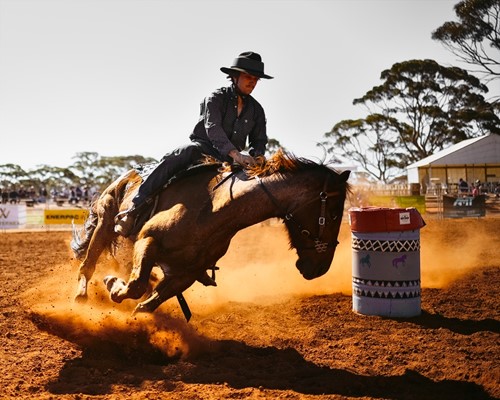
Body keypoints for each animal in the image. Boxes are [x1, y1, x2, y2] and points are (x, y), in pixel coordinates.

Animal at [71, 150, 352, 318]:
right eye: (334, 213)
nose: (320, 268)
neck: (213, 211)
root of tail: (129, 173)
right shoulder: (148, 240)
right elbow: (136, 285)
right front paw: (112, 284)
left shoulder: (184, 274)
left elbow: (146, 303)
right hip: (106, 221)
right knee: (88, 264)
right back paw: (81, 295)